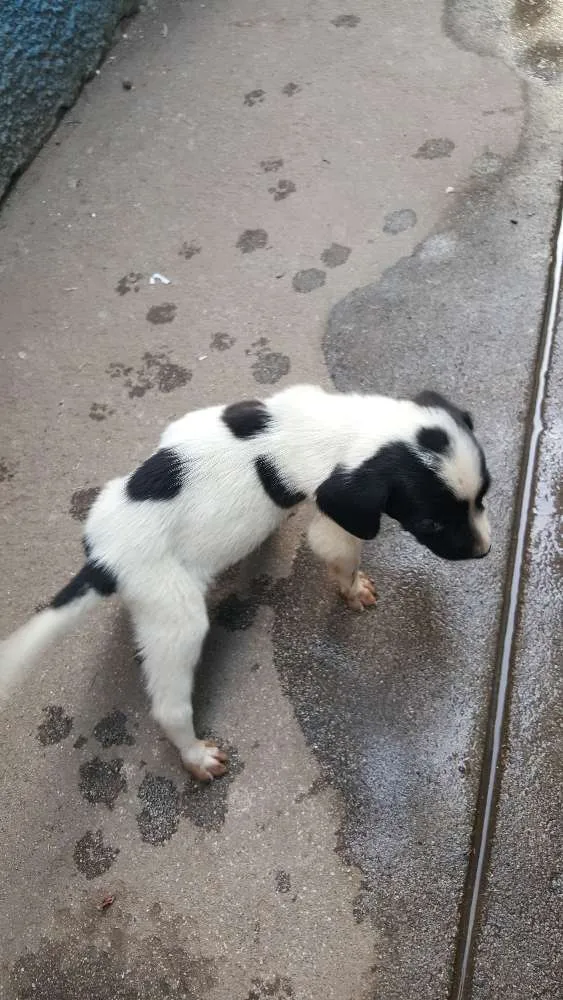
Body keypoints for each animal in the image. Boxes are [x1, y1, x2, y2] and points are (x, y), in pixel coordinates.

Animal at [0, 384, 492, 780]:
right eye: (430, 524)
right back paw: (194, 755)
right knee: (169, 705)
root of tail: (104, 561)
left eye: (484, 496)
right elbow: (345, 558)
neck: (342, 423)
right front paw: (353, 589)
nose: (485, 551)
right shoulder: (334, 523)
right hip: (178, 619)